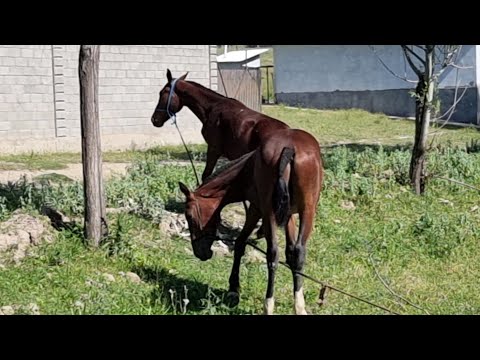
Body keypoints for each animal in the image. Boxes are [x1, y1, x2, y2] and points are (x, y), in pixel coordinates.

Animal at [179, 128, 322, 314]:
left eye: (189, 216)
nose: (200, 253)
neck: (247, 169)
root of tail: (289, 148)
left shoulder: (255, 209)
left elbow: (240, 243)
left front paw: (233, 288)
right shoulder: (287, 215)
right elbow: (290, 252)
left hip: (273, 213)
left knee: (273, 254)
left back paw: (269, 305)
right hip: (304, 211)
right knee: (293, 252)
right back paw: (295, 306)